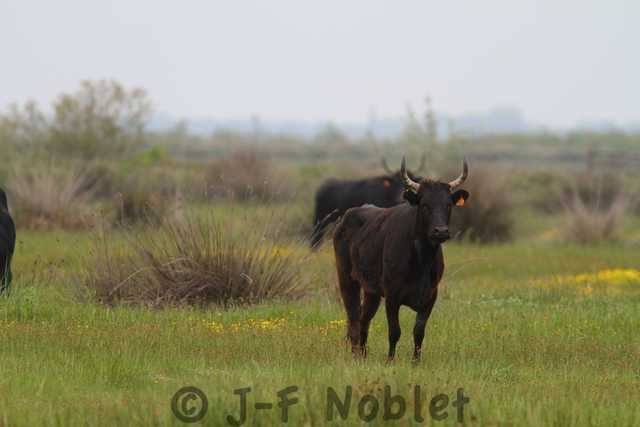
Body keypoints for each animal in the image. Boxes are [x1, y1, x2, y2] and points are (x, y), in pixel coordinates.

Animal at [332, 157, 469, 362]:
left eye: (448, 205)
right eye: (424, 204)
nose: (441, 231)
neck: (421, 260)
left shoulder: (430, 296)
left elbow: (419, 332)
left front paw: (416, 362)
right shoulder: (392, 295)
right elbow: (394, 331)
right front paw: (390, 360)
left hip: (371, 291)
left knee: (364, 317)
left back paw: (363, 354)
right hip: (347, 279)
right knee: (354, 316)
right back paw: (356, 354)